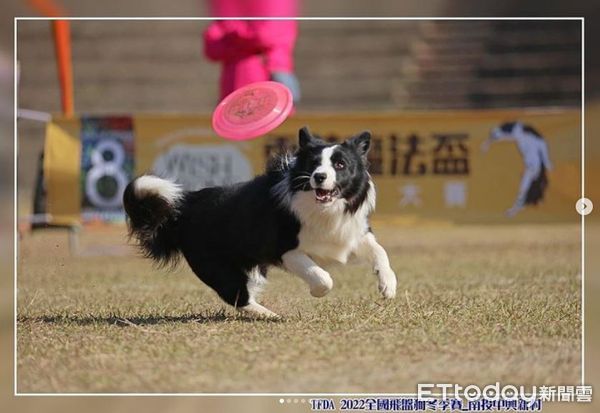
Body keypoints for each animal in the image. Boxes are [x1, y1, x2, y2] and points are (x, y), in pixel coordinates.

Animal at [123, 127, 396, 318]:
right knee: (236, 295)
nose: (319, 177)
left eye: (340, 164)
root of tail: (183, 206)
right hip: (214, 266)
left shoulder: (352, 232)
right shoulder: (284, 249)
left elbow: (380, 251)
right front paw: (316, 291)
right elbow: (321, 276)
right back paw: (269, 315)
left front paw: (388, 285)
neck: (323, 208)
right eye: (314, 164)